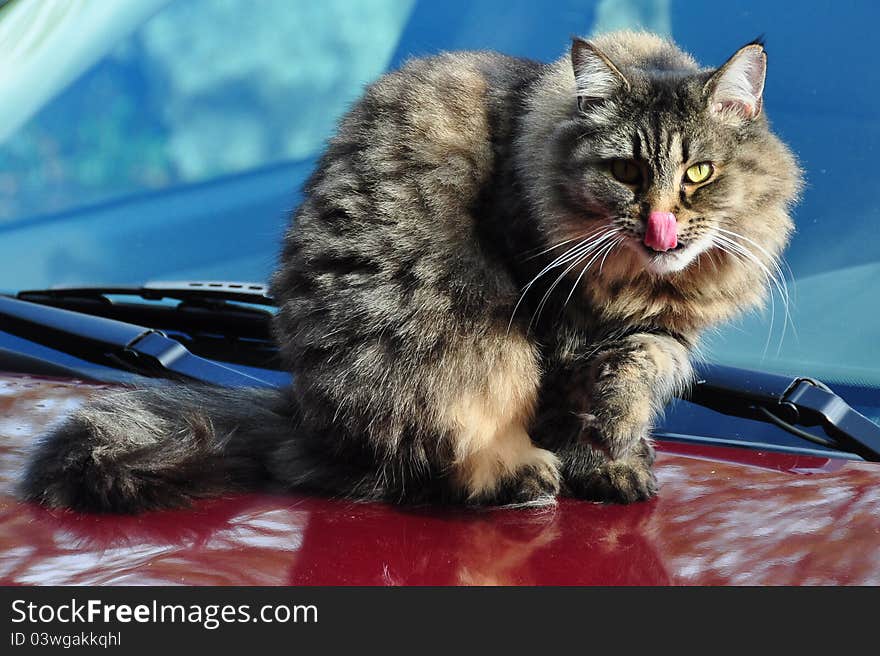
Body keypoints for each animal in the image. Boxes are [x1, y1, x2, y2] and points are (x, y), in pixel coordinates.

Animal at [22, 29, 804, 512]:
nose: (660, 225)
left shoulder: (656, 331)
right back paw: (523, 479)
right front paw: (599, 469)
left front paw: (624, 448)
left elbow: (635, 379)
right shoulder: (552, 323)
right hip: (457, 365)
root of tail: (307, 417)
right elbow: (570, 409)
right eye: (626, 172)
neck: (640, 283)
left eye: (698, 174)